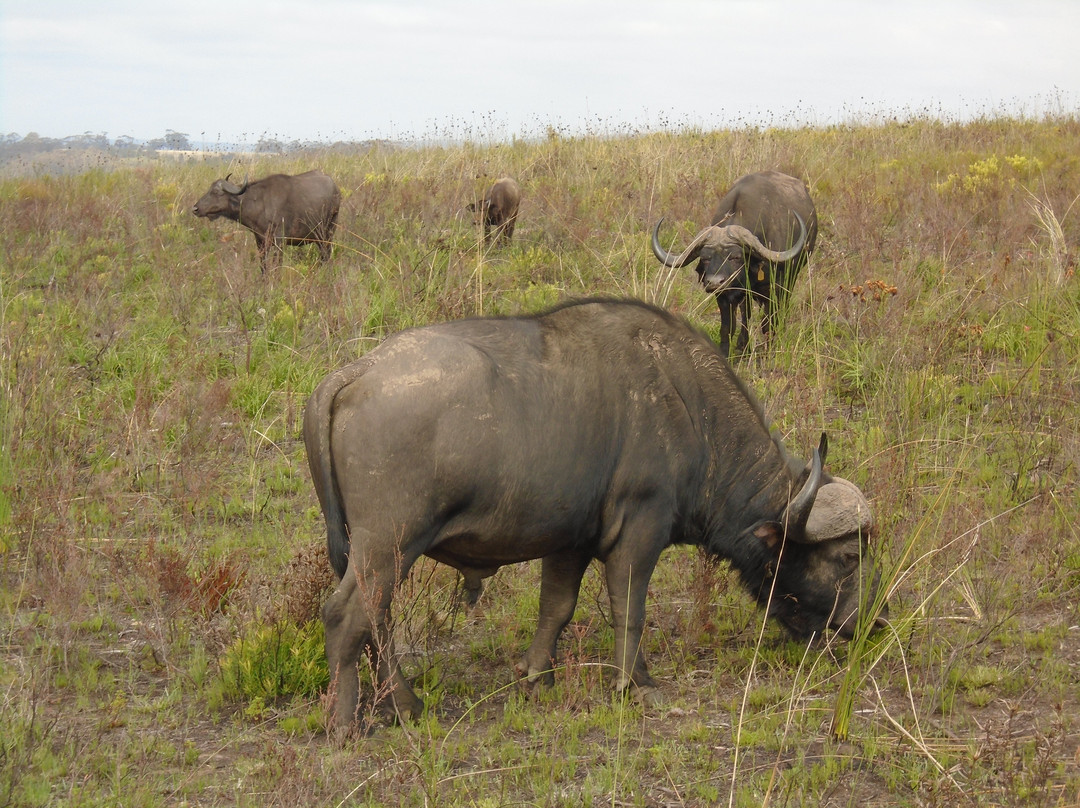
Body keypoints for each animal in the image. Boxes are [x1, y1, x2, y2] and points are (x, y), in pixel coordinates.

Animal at [192, 170, 339, 271]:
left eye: (216, 192)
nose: (195, 208)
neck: (261, 204)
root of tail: (336, 188)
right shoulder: (260, 242)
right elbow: (263, 267)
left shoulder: (279, 241)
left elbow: (277, 266)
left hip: (328, 233)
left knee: (326, 255)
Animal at [300, 298, 881, 730]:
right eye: (847, 557)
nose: (872, 621)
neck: (688, 406)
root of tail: (355, 372)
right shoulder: (640, 531)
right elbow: (630, 608)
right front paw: (637, 684)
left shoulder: (570, 542)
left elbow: (556, 608)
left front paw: (536, 675)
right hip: (389, 544)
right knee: (347, 616)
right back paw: (353, 720)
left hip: (373, 551)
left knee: (377, 619)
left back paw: (403, 704)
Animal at [648, 168, 816, 354]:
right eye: (705, 258)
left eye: (736, 257)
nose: (715, 282)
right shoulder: (725, 296)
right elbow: (728, 327)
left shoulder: (775, 289)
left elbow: (768, 324)